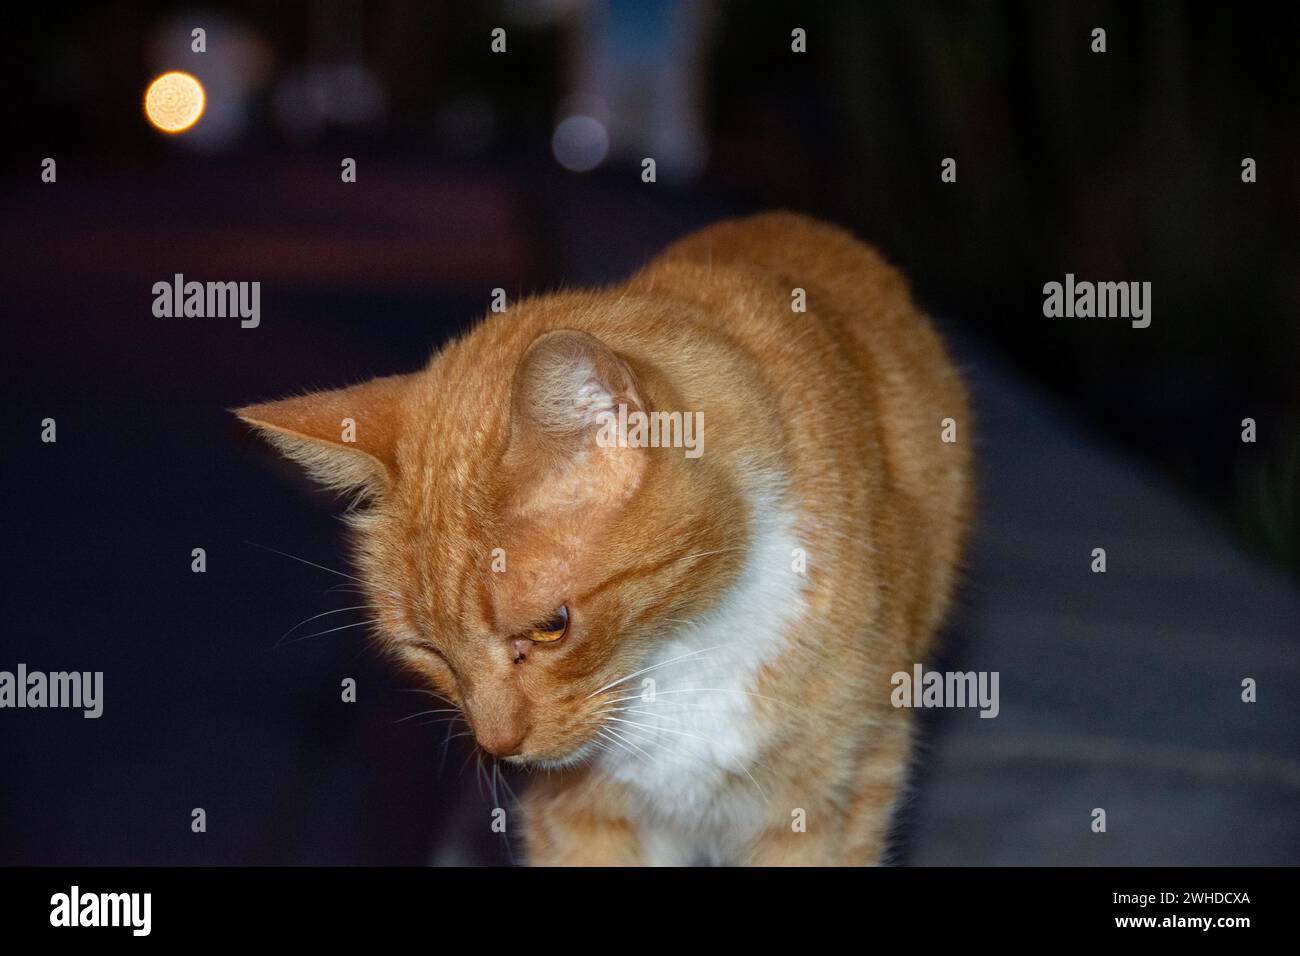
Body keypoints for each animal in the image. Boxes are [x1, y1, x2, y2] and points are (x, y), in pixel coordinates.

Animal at [239, 210, 972, 868]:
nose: (499, 747)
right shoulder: (576, 819)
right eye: (429, 652)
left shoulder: (828, 803)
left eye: (551, 627)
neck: (679, 654)